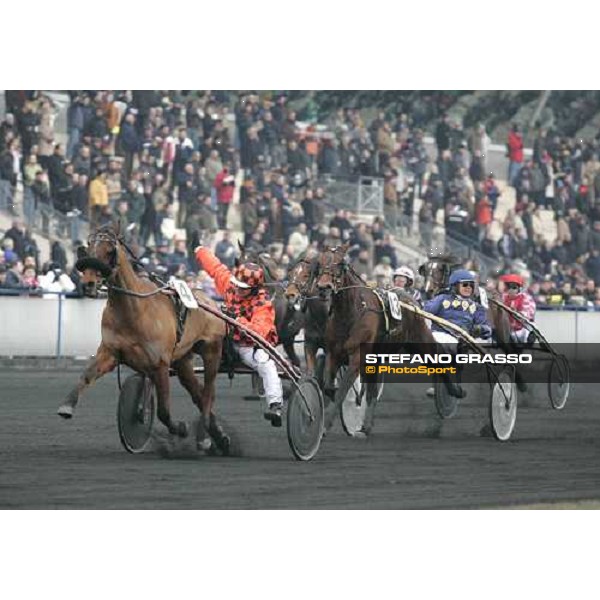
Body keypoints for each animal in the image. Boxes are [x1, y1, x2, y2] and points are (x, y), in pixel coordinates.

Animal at [57, 225, 232, 454]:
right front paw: (66, 405)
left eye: (109, 251)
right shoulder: (110, 352)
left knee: (209, 393)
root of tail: (211, 302)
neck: (134, 309)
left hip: (212, 351)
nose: (88, 284)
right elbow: (87, 375)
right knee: (199, 394)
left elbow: (164, 411)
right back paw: (219, 437)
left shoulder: (160, 364)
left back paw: (203, 437)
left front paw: (181, 428)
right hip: (183, 361)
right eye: (89, 247)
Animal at [314, 244, 436, 436]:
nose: (323, 287)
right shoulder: (333, 354)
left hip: (421, 341)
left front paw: (326, 425)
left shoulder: (357, 356)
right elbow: (330, 388)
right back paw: (366, 425)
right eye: (319, 262)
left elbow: (342, 391)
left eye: (340, 264)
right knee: (372, 391)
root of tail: (413, 303)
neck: (351, 312)